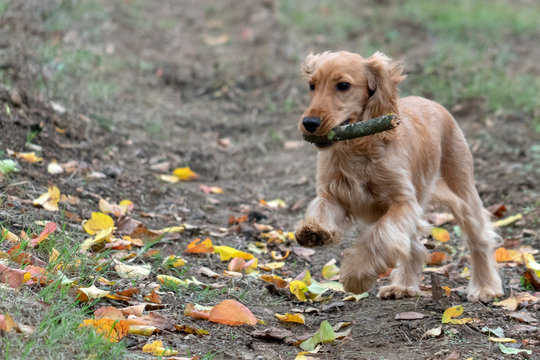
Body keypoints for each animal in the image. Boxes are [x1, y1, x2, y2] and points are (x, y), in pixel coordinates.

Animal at [296, 50, 502, 300]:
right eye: (312, 85)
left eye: (343, 85)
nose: (309, 123)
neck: (358, 146)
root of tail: (433, 103)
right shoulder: (335, 193)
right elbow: (321, 208)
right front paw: (313, 231)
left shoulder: (402, 202)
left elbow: (379, 236)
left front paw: (356, 275)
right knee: (414, 246)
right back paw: (402, 286)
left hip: (462, 192)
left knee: (479, 238)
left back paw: (485, 287)